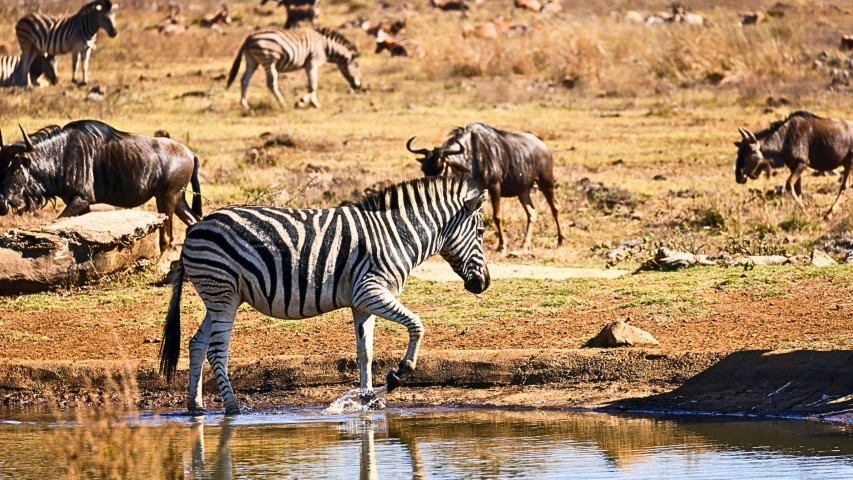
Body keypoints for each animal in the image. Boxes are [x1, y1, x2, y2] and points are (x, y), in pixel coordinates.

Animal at [159, 176, 491, 414]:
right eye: (482, 232)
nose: (484, 284)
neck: (398, 236)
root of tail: (195, 229)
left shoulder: (362, 303)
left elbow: (365, 353)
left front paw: (367, 400)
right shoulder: (371, 291)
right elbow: (417, 325)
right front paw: (399, 373)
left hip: (219, 296)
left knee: (197, 343)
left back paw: (196, 406)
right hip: (222, 293)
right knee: (217, 351)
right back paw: (232, 409)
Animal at [226, 26, 362, 114]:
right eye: (357, 66)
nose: (359, 86)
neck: (325, 47)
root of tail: (249, 37)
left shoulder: (308, 65)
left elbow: (311, 85)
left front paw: (314, 103)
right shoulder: (313, 62)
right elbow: (313, 85)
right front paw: (302, 102)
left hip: (252, 61)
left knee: (244, 80)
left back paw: (245, 105)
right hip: (268, 60)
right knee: (271, 84)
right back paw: (282, 104)